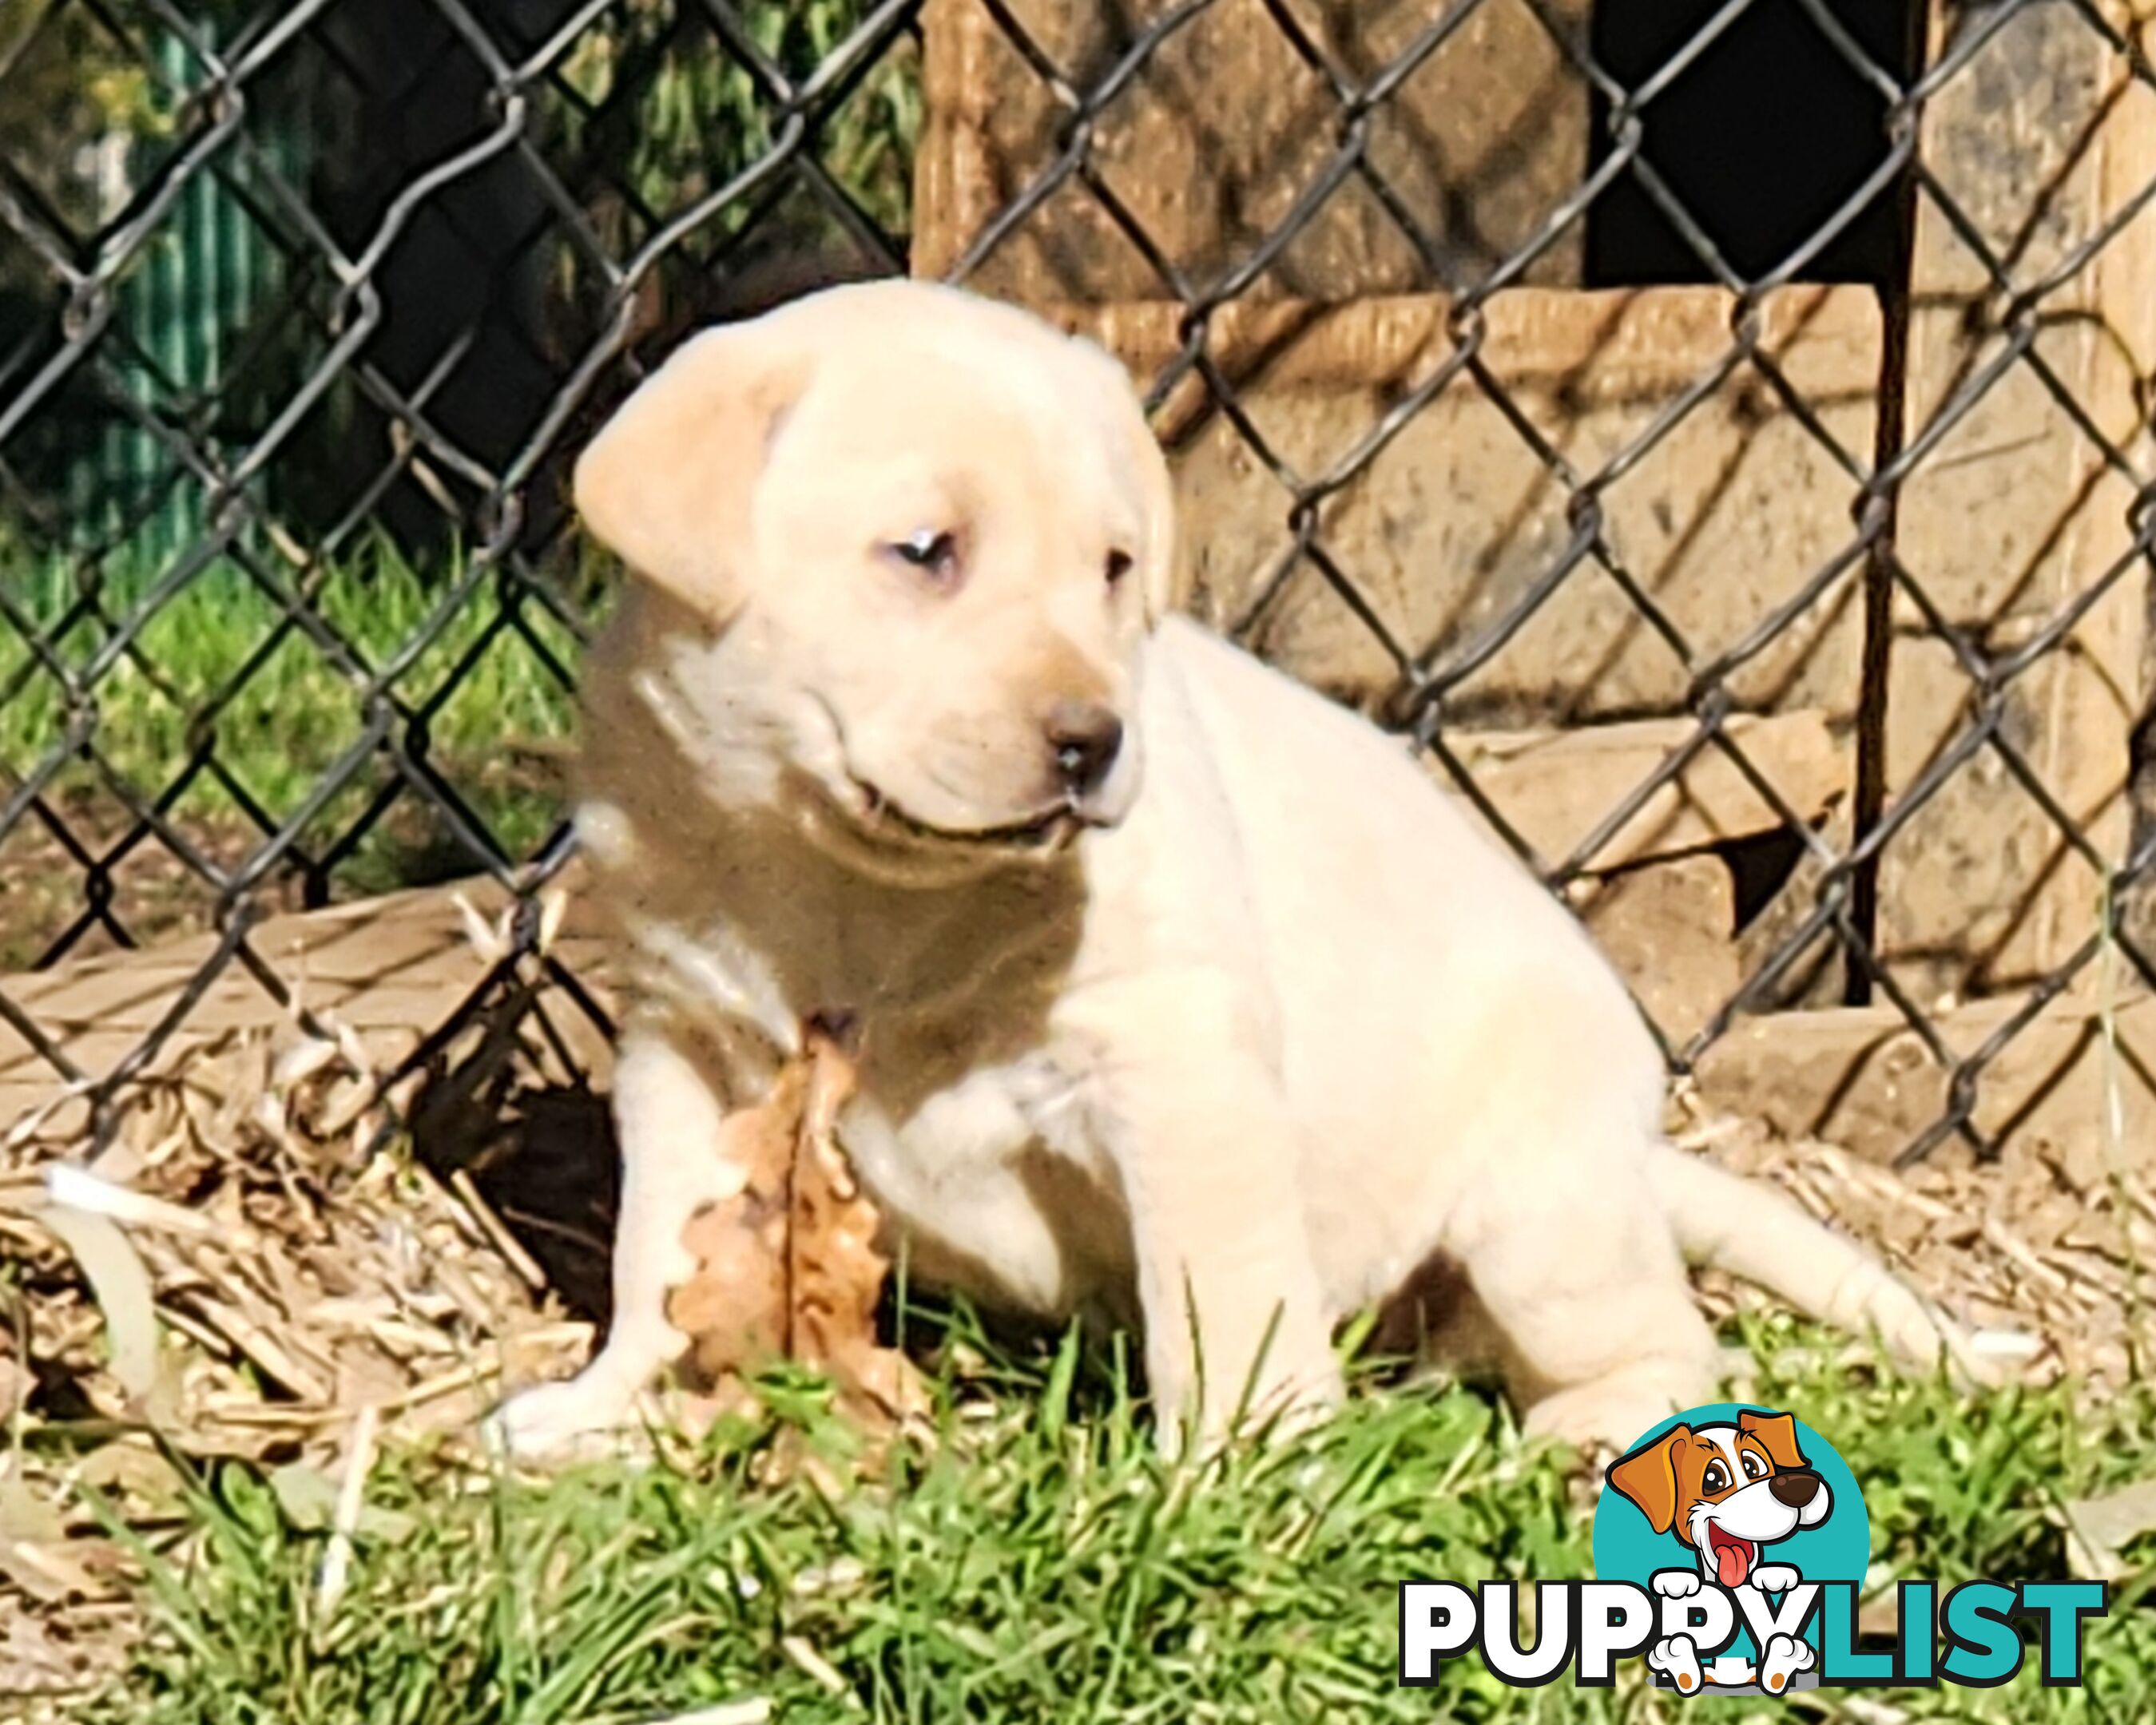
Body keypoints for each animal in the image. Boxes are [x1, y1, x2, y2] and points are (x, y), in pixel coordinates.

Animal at [495, 280, 1966, 1457]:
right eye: (924, 553)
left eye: (1112, 568)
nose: (1092, 742)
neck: (861, 889)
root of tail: (1636, 1153)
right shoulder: (682, 1043)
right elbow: (654, 1254)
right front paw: (605, 1410)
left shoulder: (1175, 1062)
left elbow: (1220, 1296)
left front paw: (1244, 1476)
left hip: (1543, 1217)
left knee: (1661, 1345)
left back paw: (1583, 1438)